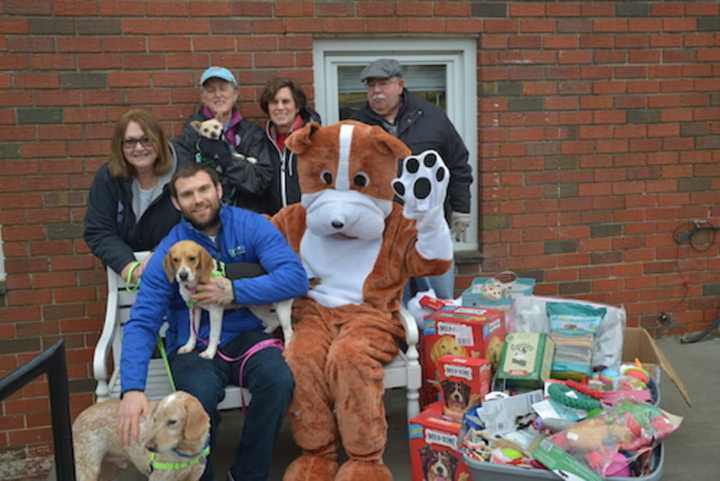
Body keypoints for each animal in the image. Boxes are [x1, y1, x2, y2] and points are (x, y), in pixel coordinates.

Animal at [165, 240, 294, 360]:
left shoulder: (215, 311)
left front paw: (210, 352)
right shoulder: (194, 309)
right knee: (274, 322)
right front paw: (189, 346)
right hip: (257, 308)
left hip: (282, 309)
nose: (183, 275)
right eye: (175, 259)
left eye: (192, 258)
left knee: (288, 332)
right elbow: (193, 331)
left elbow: (213, 334)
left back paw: (287, 351)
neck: (196, 283)